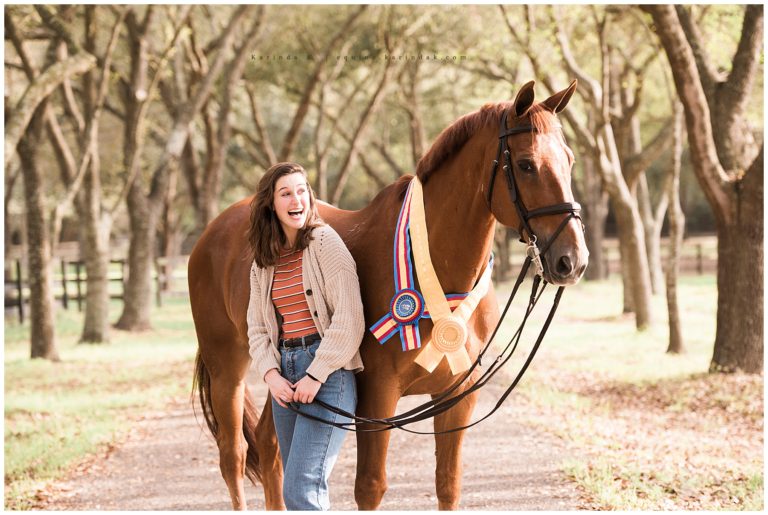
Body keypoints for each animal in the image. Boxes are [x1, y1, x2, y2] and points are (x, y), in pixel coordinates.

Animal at [189, 80, 588, 510]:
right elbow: (370, 487)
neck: (434, 272)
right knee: (233, 455)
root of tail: (215, 229)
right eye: (527, 164)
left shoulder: (457, 399)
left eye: (570, 160)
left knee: (269, 444)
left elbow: (448, 484)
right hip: (228, 367)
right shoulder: (376, 399)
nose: (572, 260)